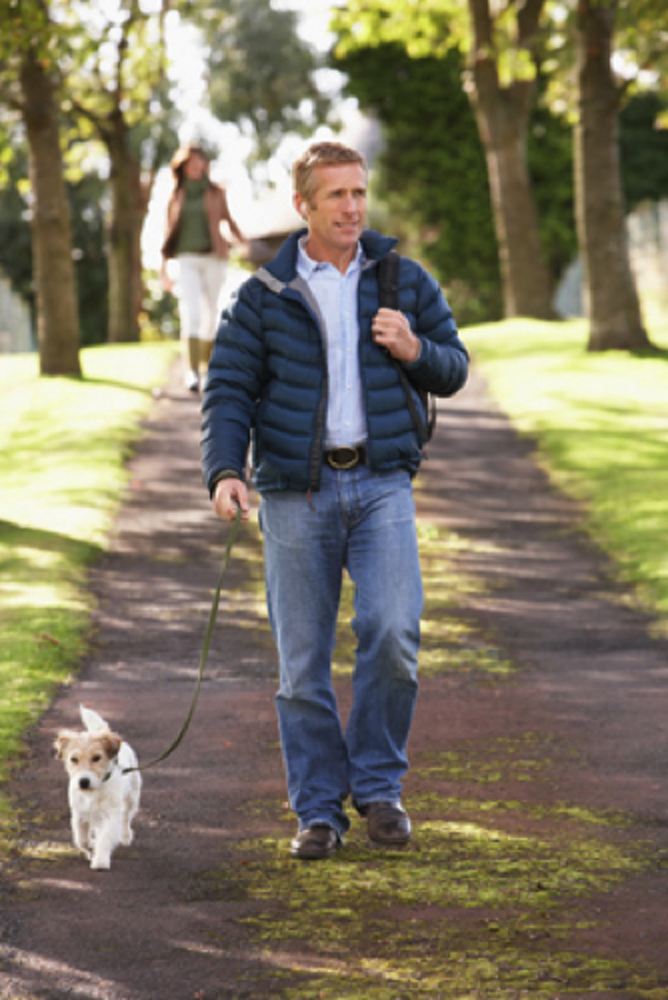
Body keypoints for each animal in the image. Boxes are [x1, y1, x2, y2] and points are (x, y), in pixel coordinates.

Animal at [55, 704, 142, 868]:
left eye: (97, 758)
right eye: (73, 759)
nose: (83, 781)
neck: (93, 792)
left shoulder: (111, 815)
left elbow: (105, 838)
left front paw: (100, 860)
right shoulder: (79, 815)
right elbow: (81, 840)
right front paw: (90, 847)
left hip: (132, 798)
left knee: (126, 818)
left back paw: (125, 836)